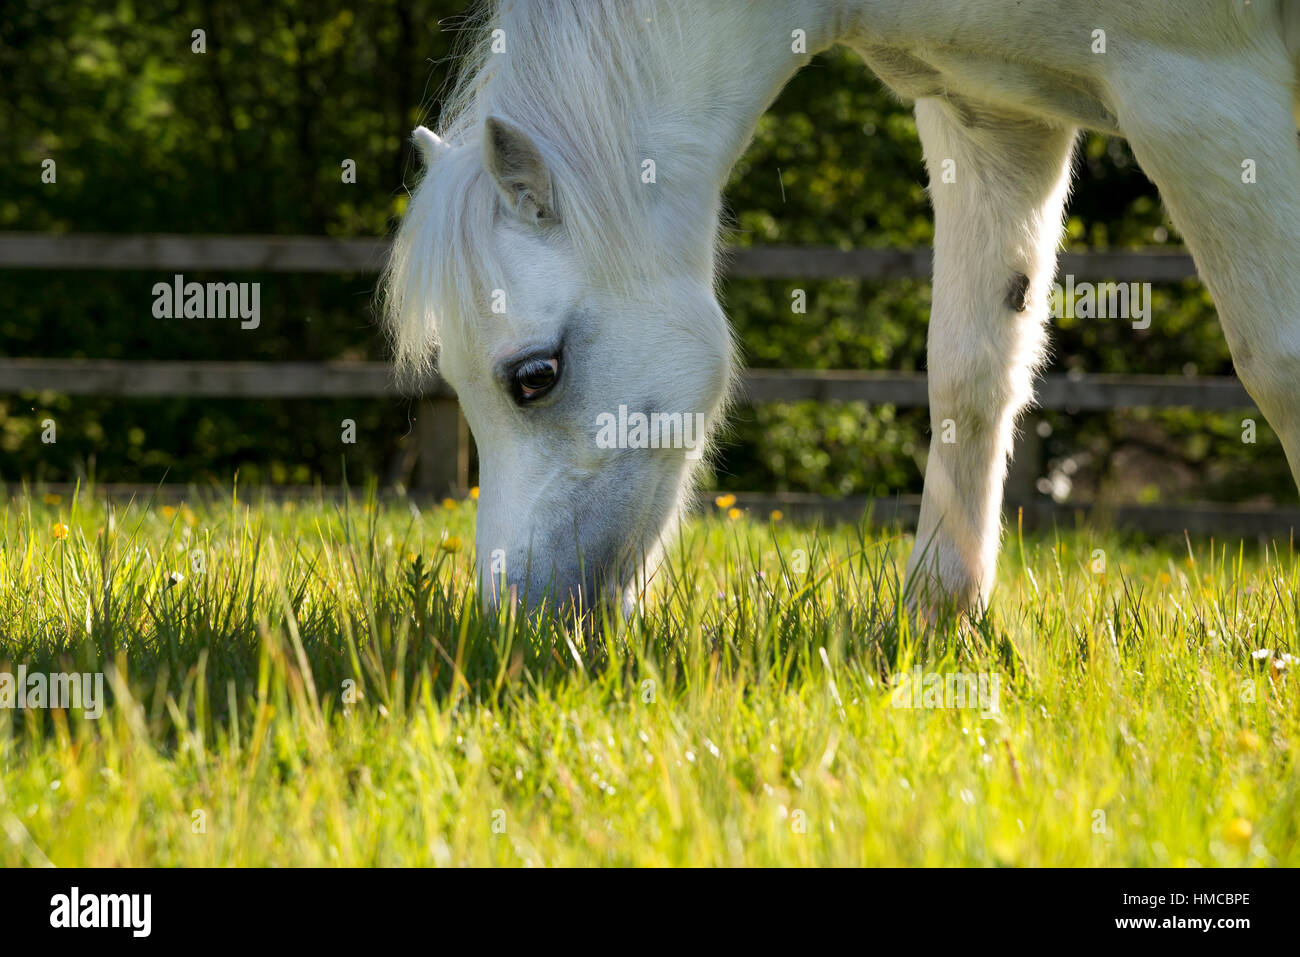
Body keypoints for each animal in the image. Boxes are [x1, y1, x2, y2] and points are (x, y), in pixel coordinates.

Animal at [384, 0, 1300, 613]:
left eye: (535, 376)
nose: (514, 622)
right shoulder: (990, 114)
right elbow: (971, 370)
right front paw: (936, 621)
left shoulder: (1200, 89)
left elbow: (1279, 363)